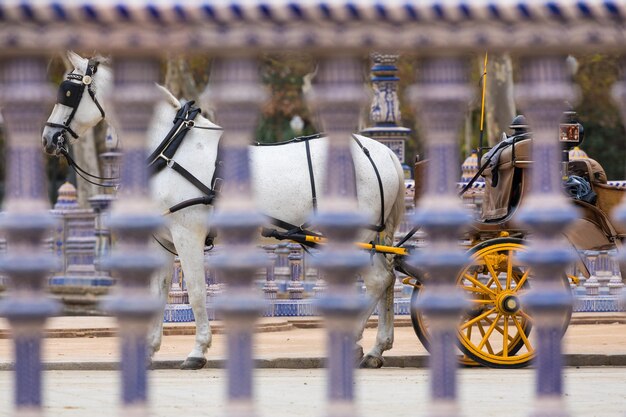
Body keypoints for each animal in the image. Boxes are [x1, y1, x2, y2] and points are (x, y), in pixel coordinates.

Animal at [42, 52, 404, 368]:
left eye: (69, 93)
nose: (48, 138)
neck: (171, 148)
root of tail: (384, 152)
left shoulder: (187, 235)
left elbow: (197, 291)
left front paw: (197, 351)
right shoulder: (163, 241)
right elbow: (158, 295)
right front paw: (148, 351)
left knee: (377, 280)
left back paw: (355, 340)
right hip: (374, 237)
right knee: (388, 277)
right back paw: (377, 349)